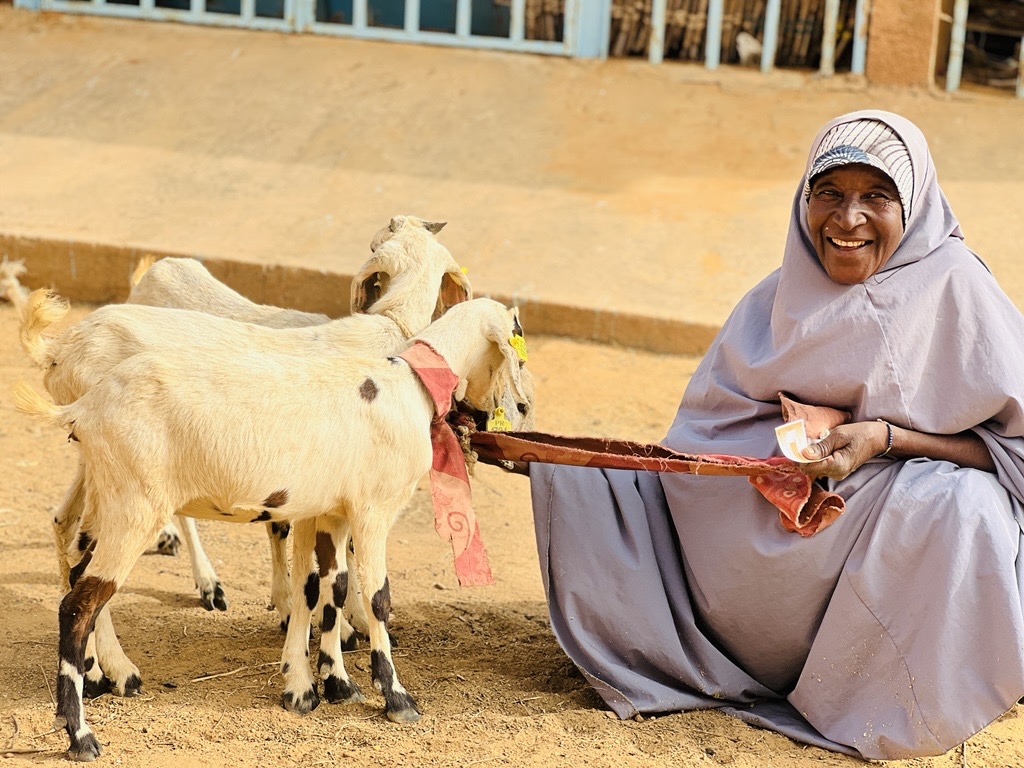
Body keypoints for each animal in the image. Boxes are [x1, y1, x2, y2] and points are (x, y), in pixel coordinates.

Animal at [14, 296, 536, 765]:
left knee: (79, 569)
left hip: (115, 498)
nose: (521, 407)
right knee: (78, 604)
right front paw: (396, 698)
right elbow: (377, 599)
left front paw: (327, 685)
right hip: (135, 505)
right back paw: (82, 733)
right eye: (518, 338)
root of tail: (85, 406)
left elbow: (326, 590)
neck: (406, 387)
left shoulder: (333, 513)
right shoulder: (373, 511)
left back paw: (102, 678)